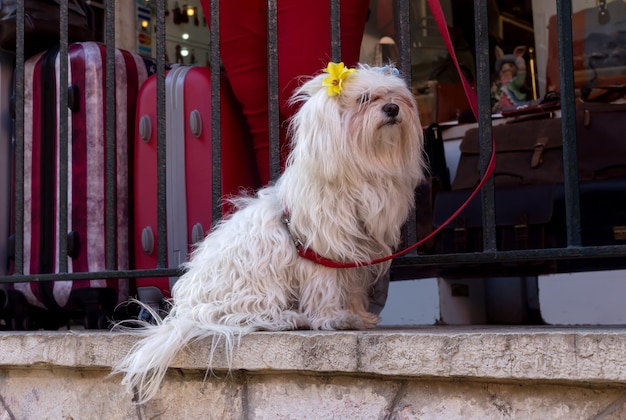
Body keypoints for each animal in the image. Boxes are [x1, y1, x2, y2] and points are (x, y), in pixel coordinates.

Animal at [112, 63, 424, 404]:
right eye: (364, 99)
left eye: (394, 95)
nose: (392, 108)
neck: (359, 173)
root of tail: (188, 311)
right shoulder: (320, 251)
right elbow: (326, 287)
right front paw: (333, 318)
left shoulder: (353, 252)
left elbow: (352, 288)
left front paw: (357, 316)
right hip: (259, 283)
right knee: (244, 317)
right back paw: (289, 318)